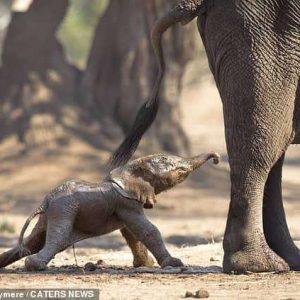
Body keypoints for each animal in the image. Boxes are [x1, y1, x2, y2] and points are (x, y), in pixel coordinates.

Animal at [0, 151, 218, 270]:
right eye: (179, 171)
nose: (216, 158)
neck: (129, 169)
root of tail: (45, 201)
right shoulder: (126, 203)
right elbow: (147, 230)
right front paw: (174, 263)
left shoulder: (126, 205)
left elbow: (132, 233)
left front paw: (145, 265)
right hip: (63, 209)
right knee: (58, 236)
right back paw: (34, 265)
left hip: (51, 214)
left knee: (33, 242)